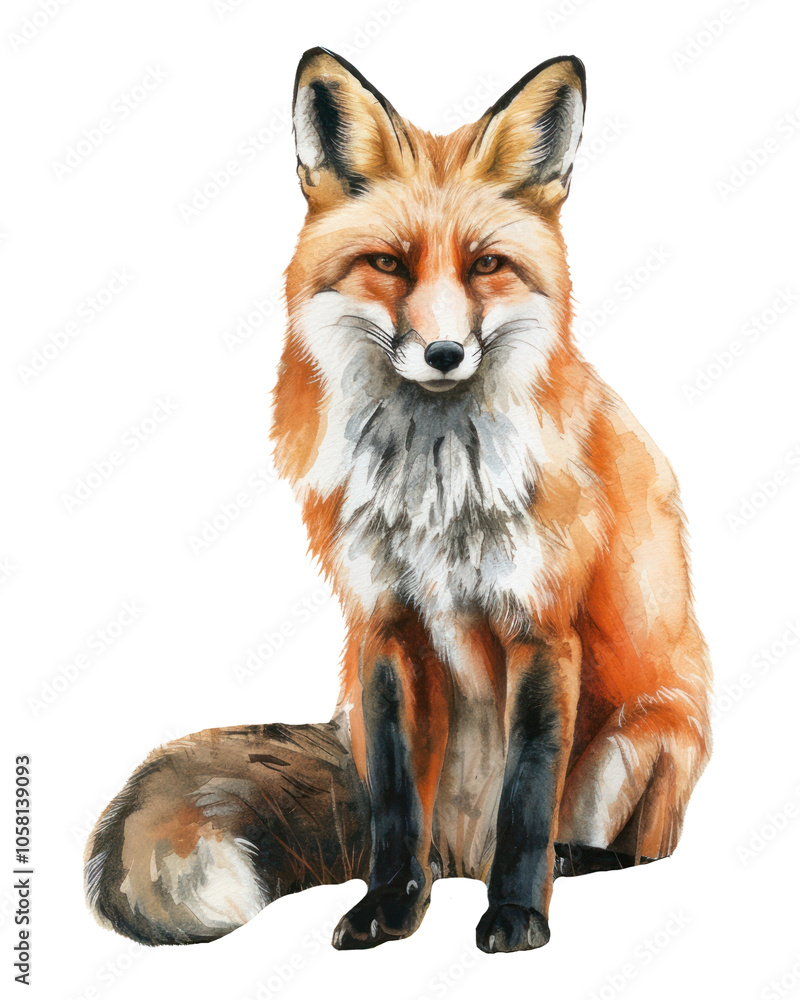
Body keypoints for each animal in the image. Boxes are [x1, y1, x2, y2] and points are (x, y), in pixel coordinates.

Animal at [85, 49, 712, 954]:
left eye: (486, 264)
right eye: (389, 263)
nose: (445, 353)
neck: (437, 490)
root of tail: (462, 852)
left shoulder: (542, 629)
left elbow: (527, 800)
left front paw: (517, 915)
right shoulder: (382, 626)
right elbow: (391, 805)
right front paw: (388, 908)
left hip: (642, 742)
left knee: (634, 847)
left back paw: (571, 862)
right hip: (369, 719)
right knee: (420, 830)